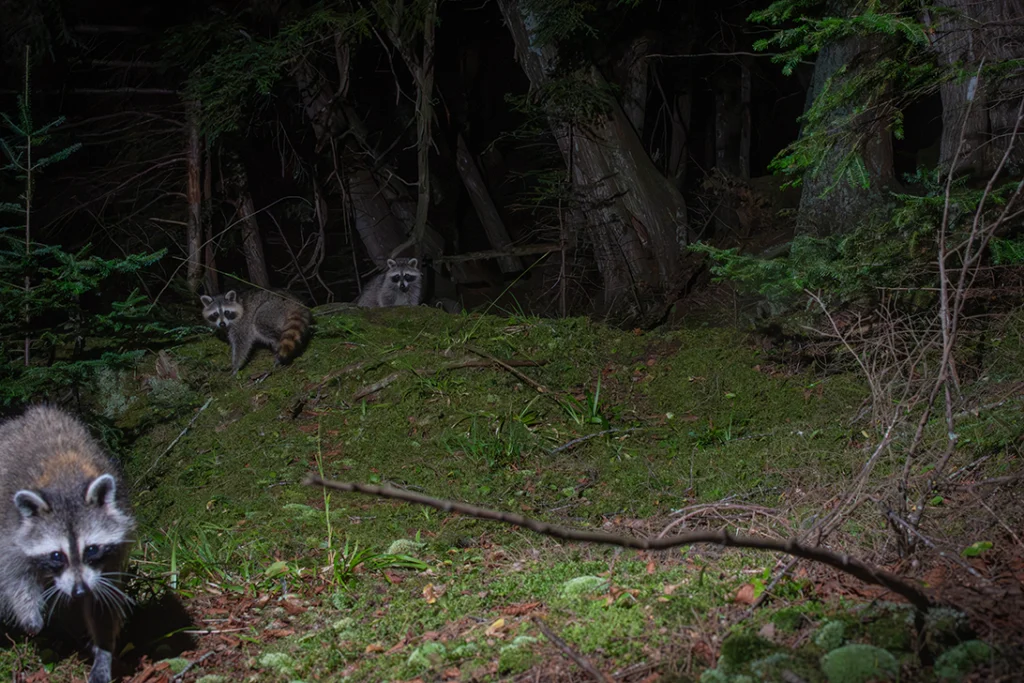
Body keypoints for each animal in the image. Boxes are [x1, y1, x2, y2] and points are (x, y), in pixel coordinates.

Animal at [0, 405, 135, 683]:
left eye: (91, 549)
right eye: (56, 555)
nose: (79, 592)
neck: (65, 482)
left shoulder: (113, 550)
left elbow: (103, 602)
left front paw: (103, 652)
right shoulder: (9, 531)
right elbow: (13, 577)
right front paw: (29, 613)